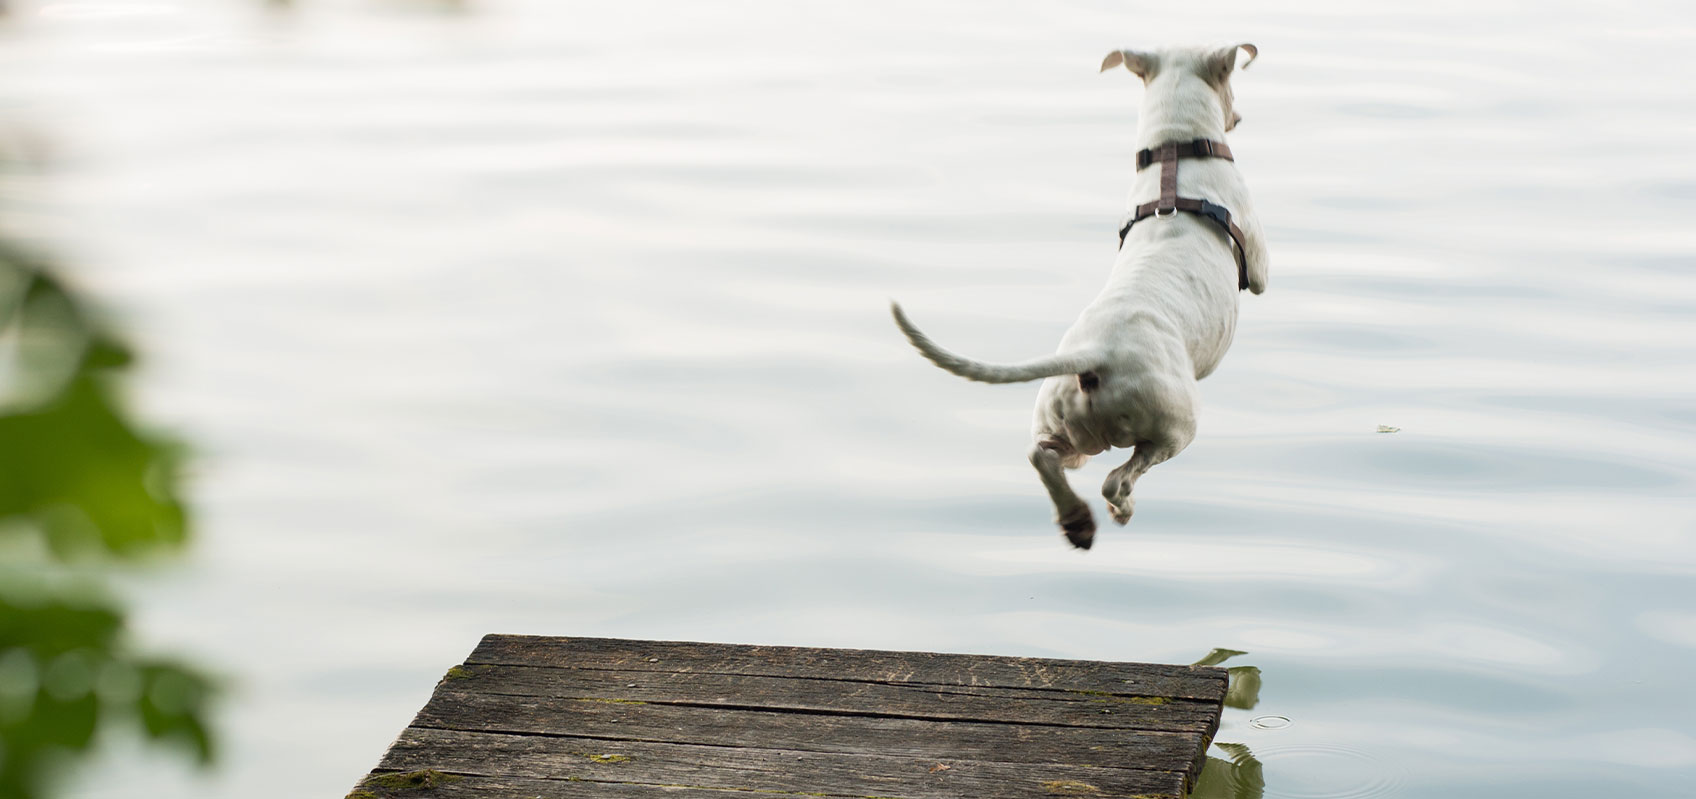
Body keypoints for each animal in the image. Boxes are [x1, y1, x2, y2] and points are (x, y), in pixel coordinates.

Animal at [895, 43, 1268, 549]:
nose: (1239, 118)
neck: (1175, 155)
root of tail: (1096, 356)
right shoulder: (1260, 259)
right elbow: (1261, 277)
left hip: (1065, 425)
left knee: (1042, 456)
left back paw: (1076, 520)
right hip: (1174, 423)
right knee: (1120, 476)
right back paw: (1117, 509)